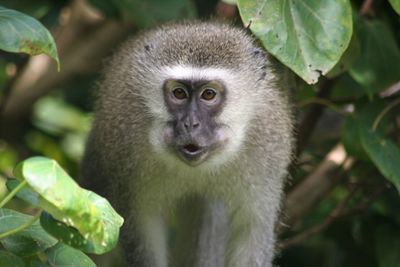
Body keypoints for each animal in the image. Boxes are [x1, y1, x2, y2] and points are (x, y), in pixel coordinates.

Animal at [82, 21, 294, 267]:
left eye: (209, 94)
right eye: (179, 93)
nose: (190, 123)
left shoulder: (269, 145)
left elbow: (252, 231)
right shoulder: (124, 147)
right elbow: (139, 229)